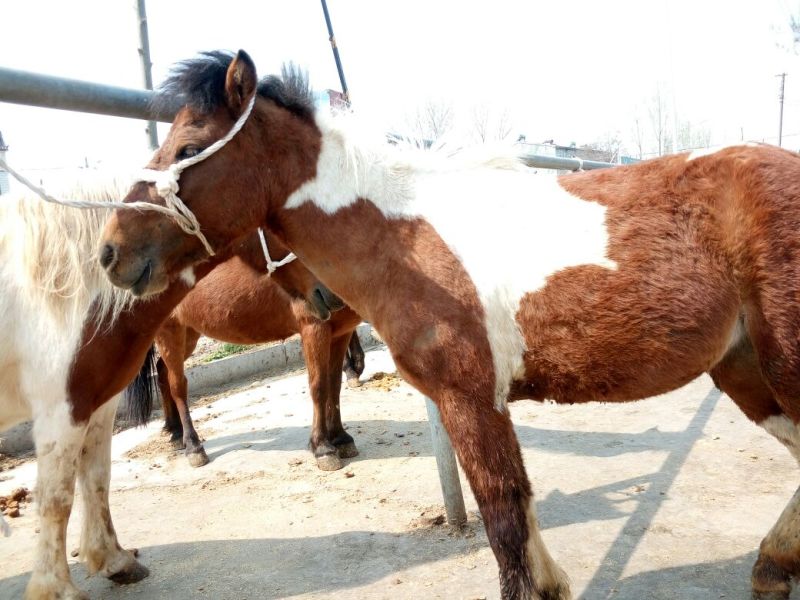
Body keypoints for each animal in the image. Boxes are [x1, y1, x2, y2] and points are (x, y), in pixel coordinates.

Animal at [147, 230, 364, 469]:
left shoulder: (341, 332)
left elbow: (334, 385)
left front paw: (341, 438)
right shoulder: (313, 328)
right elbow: (319, 387)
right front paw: (323, 447)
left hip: (189, 332)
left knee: (163, 372)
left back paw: (175, 433)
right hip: (170, 332)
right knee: (178, 385)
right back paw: (193, 446)